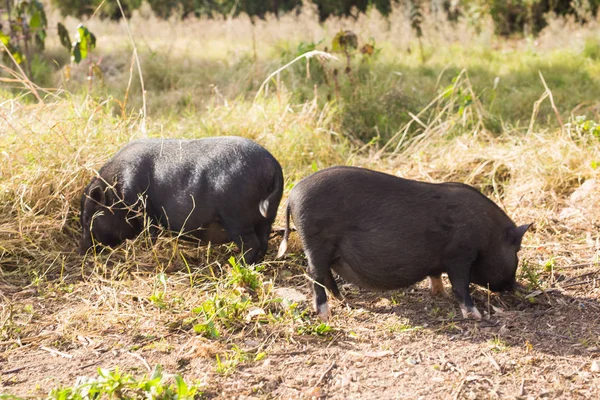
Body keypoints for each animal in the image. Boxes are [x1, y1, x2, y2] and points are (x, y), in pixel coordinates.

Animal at [79, 136, 284, 264]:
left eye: (89, 218)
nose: (81, 250)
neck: (116, 194)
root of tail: (273, 167)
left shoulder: (143, 209)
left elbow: (150, 234)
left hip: (236, 216)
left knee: (251, 245)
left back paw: (236, 265)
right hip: (267, 218)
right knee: (263, 241)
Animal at [276, 167, 528, 320]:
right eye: (516, 251)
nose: (515, 287)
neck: (489, 235)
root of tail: (292, 195)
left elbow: (436, 275)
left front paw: (439, 294)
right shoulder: (460, 255)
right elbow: (460, 285)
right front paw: (476, 315)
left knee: (326, 275)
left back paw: (343, 299)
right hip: (315, 241)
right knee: (314, 275)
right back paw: (324, 313)